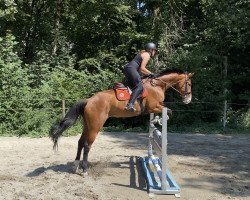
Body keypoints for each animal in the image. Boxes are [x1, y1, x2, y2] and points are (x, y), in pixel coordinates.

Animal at [48, 69, 193, 173]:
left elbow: (166, 110)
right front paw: (162, 119)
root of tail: (89, 100)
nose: (188, 99)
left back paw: (75, 165)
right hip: (95, 126)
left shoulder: (156, 106)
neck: (157, 85)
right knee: (87, 145)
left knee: (80, 142)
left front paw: (157, 119)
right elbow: (169, 110)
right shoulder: (154, 106)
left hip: (87, 125)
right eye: (189, 84)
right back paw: (84, 169)